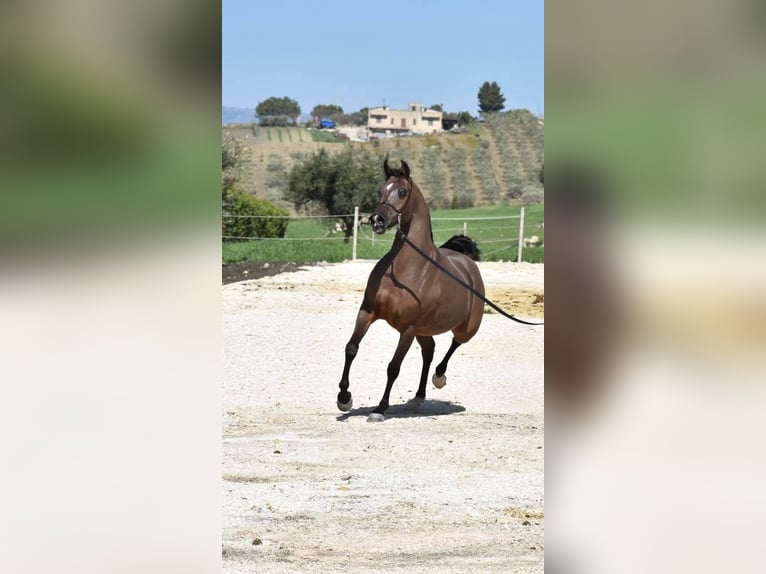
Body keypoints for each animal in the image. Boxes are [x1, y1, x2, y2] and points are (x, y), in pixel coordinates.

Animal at [336, 158, 485, 422]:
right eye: (380, 190)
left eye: (402, 192)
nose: (377, 220)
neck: (405, 270)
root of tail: (466, 262)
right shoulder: (367, 312)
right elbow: (351, 349)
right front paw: (344, 399)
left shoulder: (407, 328)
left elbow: (393, 367)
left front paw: (380, 409)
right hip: (424, 330)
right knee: (430, 350)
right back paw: (418, 397)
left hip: (466, 328)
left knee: (453, 345)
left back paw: (439, 377)